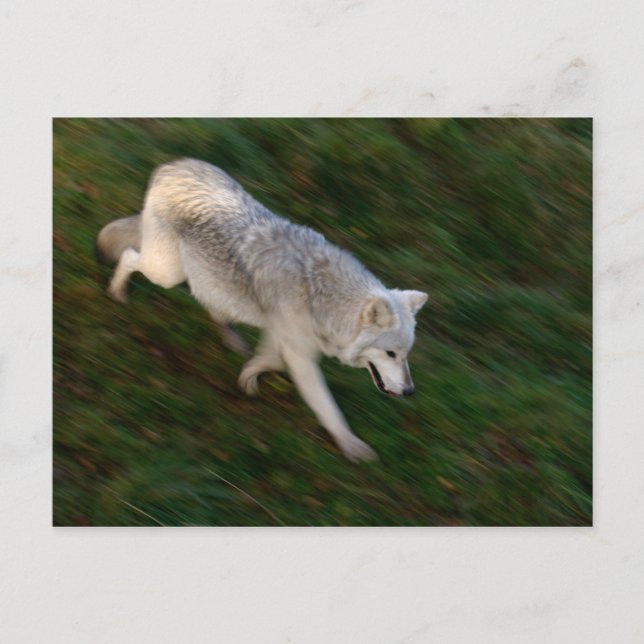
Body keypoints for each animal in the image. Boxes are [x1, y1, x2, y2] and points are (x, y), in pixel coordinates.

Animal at [96, 159, 427, 462]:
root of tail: (172, 165)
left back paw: (231, 339)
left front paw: (249, 376)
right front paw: (350, 445)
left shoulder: (281, 335)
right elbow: (326, 406)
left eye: (406, 354)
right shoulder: (299, 352)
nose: (410, 392)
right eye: (390, 354)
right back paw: (117, 293)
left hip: (202, 278)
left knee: (212, 306)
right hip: (167, 272)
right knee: (129, 256)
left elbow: (270, 359)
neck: (320, 295)